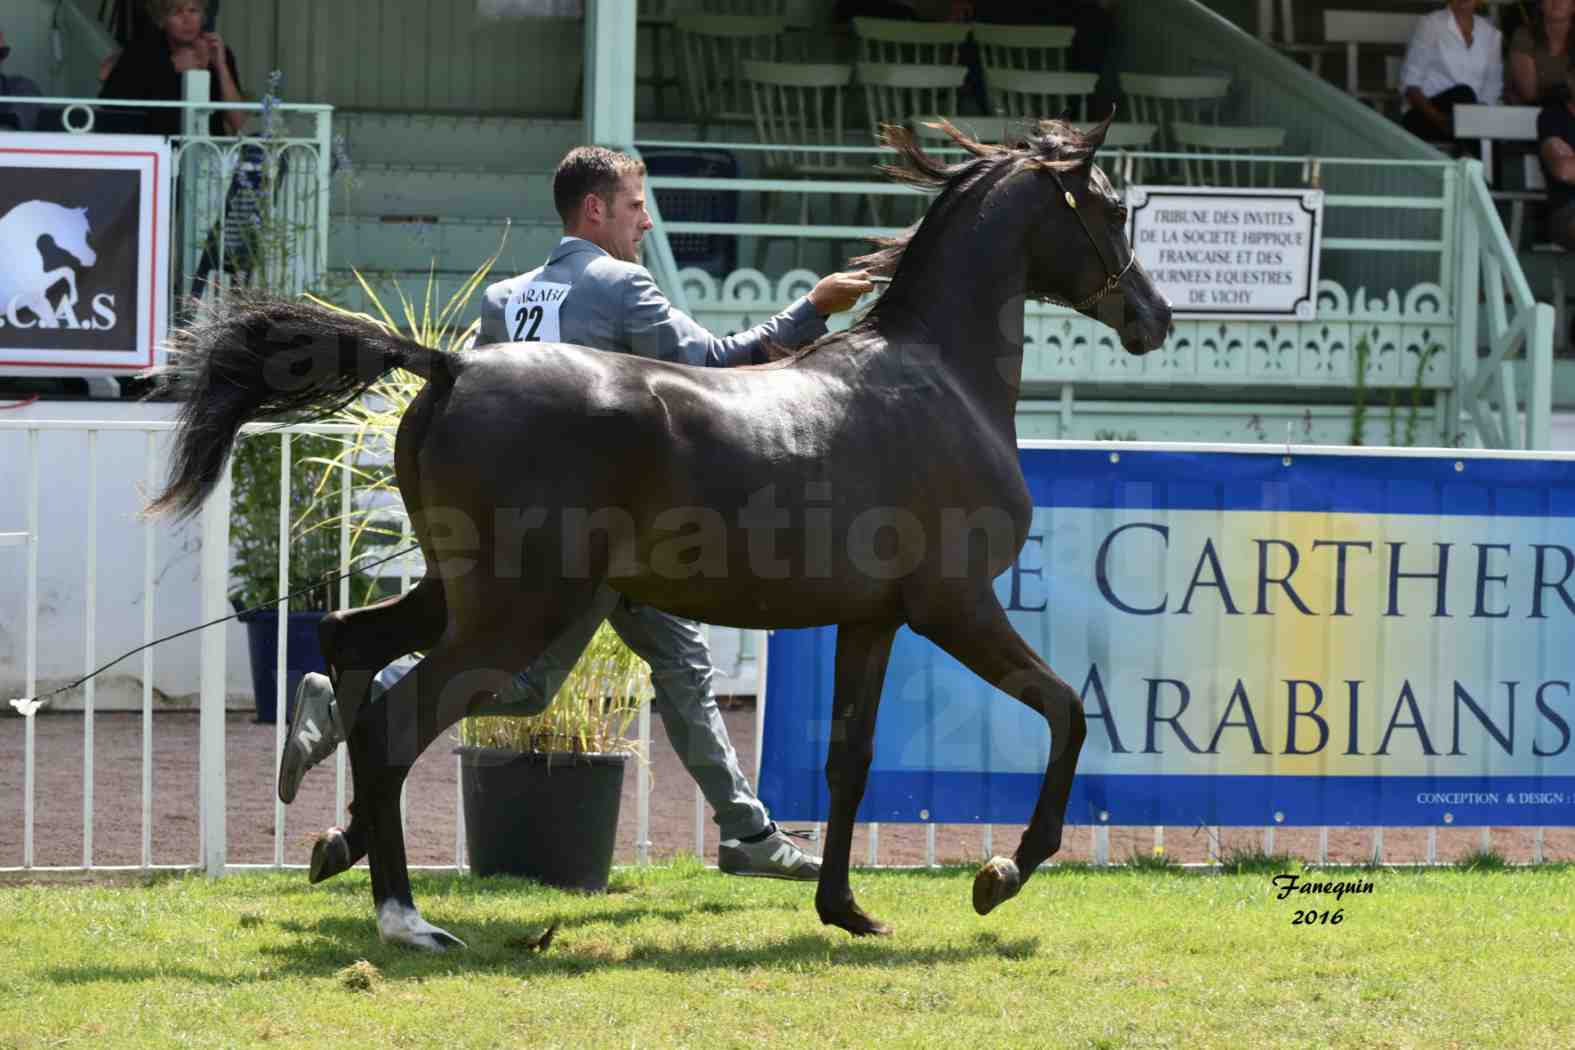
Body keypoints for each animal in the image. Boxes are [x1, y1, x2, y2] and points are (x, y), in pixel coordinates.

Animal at [150, 117, 1171, 950]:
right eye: (1113, 209)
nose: (1153, 319)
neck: (934, 379)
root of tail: (451, 368)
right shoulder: (954, 606)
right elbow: (1067, 711)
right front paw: (1000, 874)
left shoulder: (872, 620)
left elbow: (848, 761)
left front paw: (844, 907)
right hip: (513, 614)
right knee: (397, 722)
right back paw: (406, 919)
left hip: (466, 597)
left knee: (350, 647)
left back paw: (336, 825)